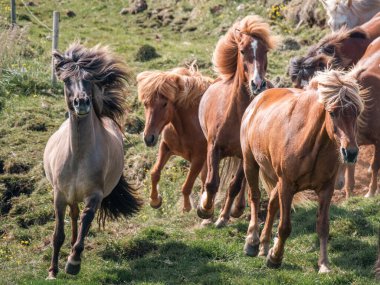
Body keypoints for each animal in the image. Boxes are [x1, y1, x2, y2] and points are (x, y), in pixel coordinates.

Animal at [43, 42, 141, 278]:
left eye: (88, 79)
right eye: (66, 80)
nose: (82, 103)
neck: (77, 157)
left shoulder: (94, 196)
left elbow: (86, 221)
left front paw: (73, 262)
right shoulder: (59, 195)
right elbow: (58, 234)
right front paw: (52, 271)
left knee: (78, 218)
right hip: (70, 196)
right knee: (73, 215)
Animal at [137, 66, 214, 212]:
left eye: (165, 104)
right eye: (145, 104)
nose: (148, 138)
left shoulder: (198, 158)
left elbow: (187, 185)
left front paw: (187, 207)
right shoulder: (166, 147)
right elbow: (155, 173)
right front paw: (155, 201)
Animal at [196, 15, 276, 226]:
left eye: (265, 51)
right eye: (242, 50)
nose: (258, 84)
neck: (237, 115)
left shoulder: (243, 153)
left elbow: (234, 185)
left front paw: (223, 217)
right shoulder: (213, 147)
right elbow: (211, 182)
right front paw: (205, 209)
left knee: (244, 182)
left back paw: (235, 210)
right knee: (208, 177)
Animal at [242, 68, 364, 270]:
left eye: (357, 113)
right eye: (332, 113)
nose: (351, 153)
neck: (311, 143)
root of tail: (259, 98)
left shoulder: (326, 189)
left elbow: (323, 227)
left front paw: (324, 265)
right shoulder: (287, 185)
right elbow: (285, 227)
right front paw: (275, 258)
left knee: (272, 203)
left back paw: (264, 245)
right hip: (249, 163)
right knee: (255, 196)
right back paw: (252, 242)